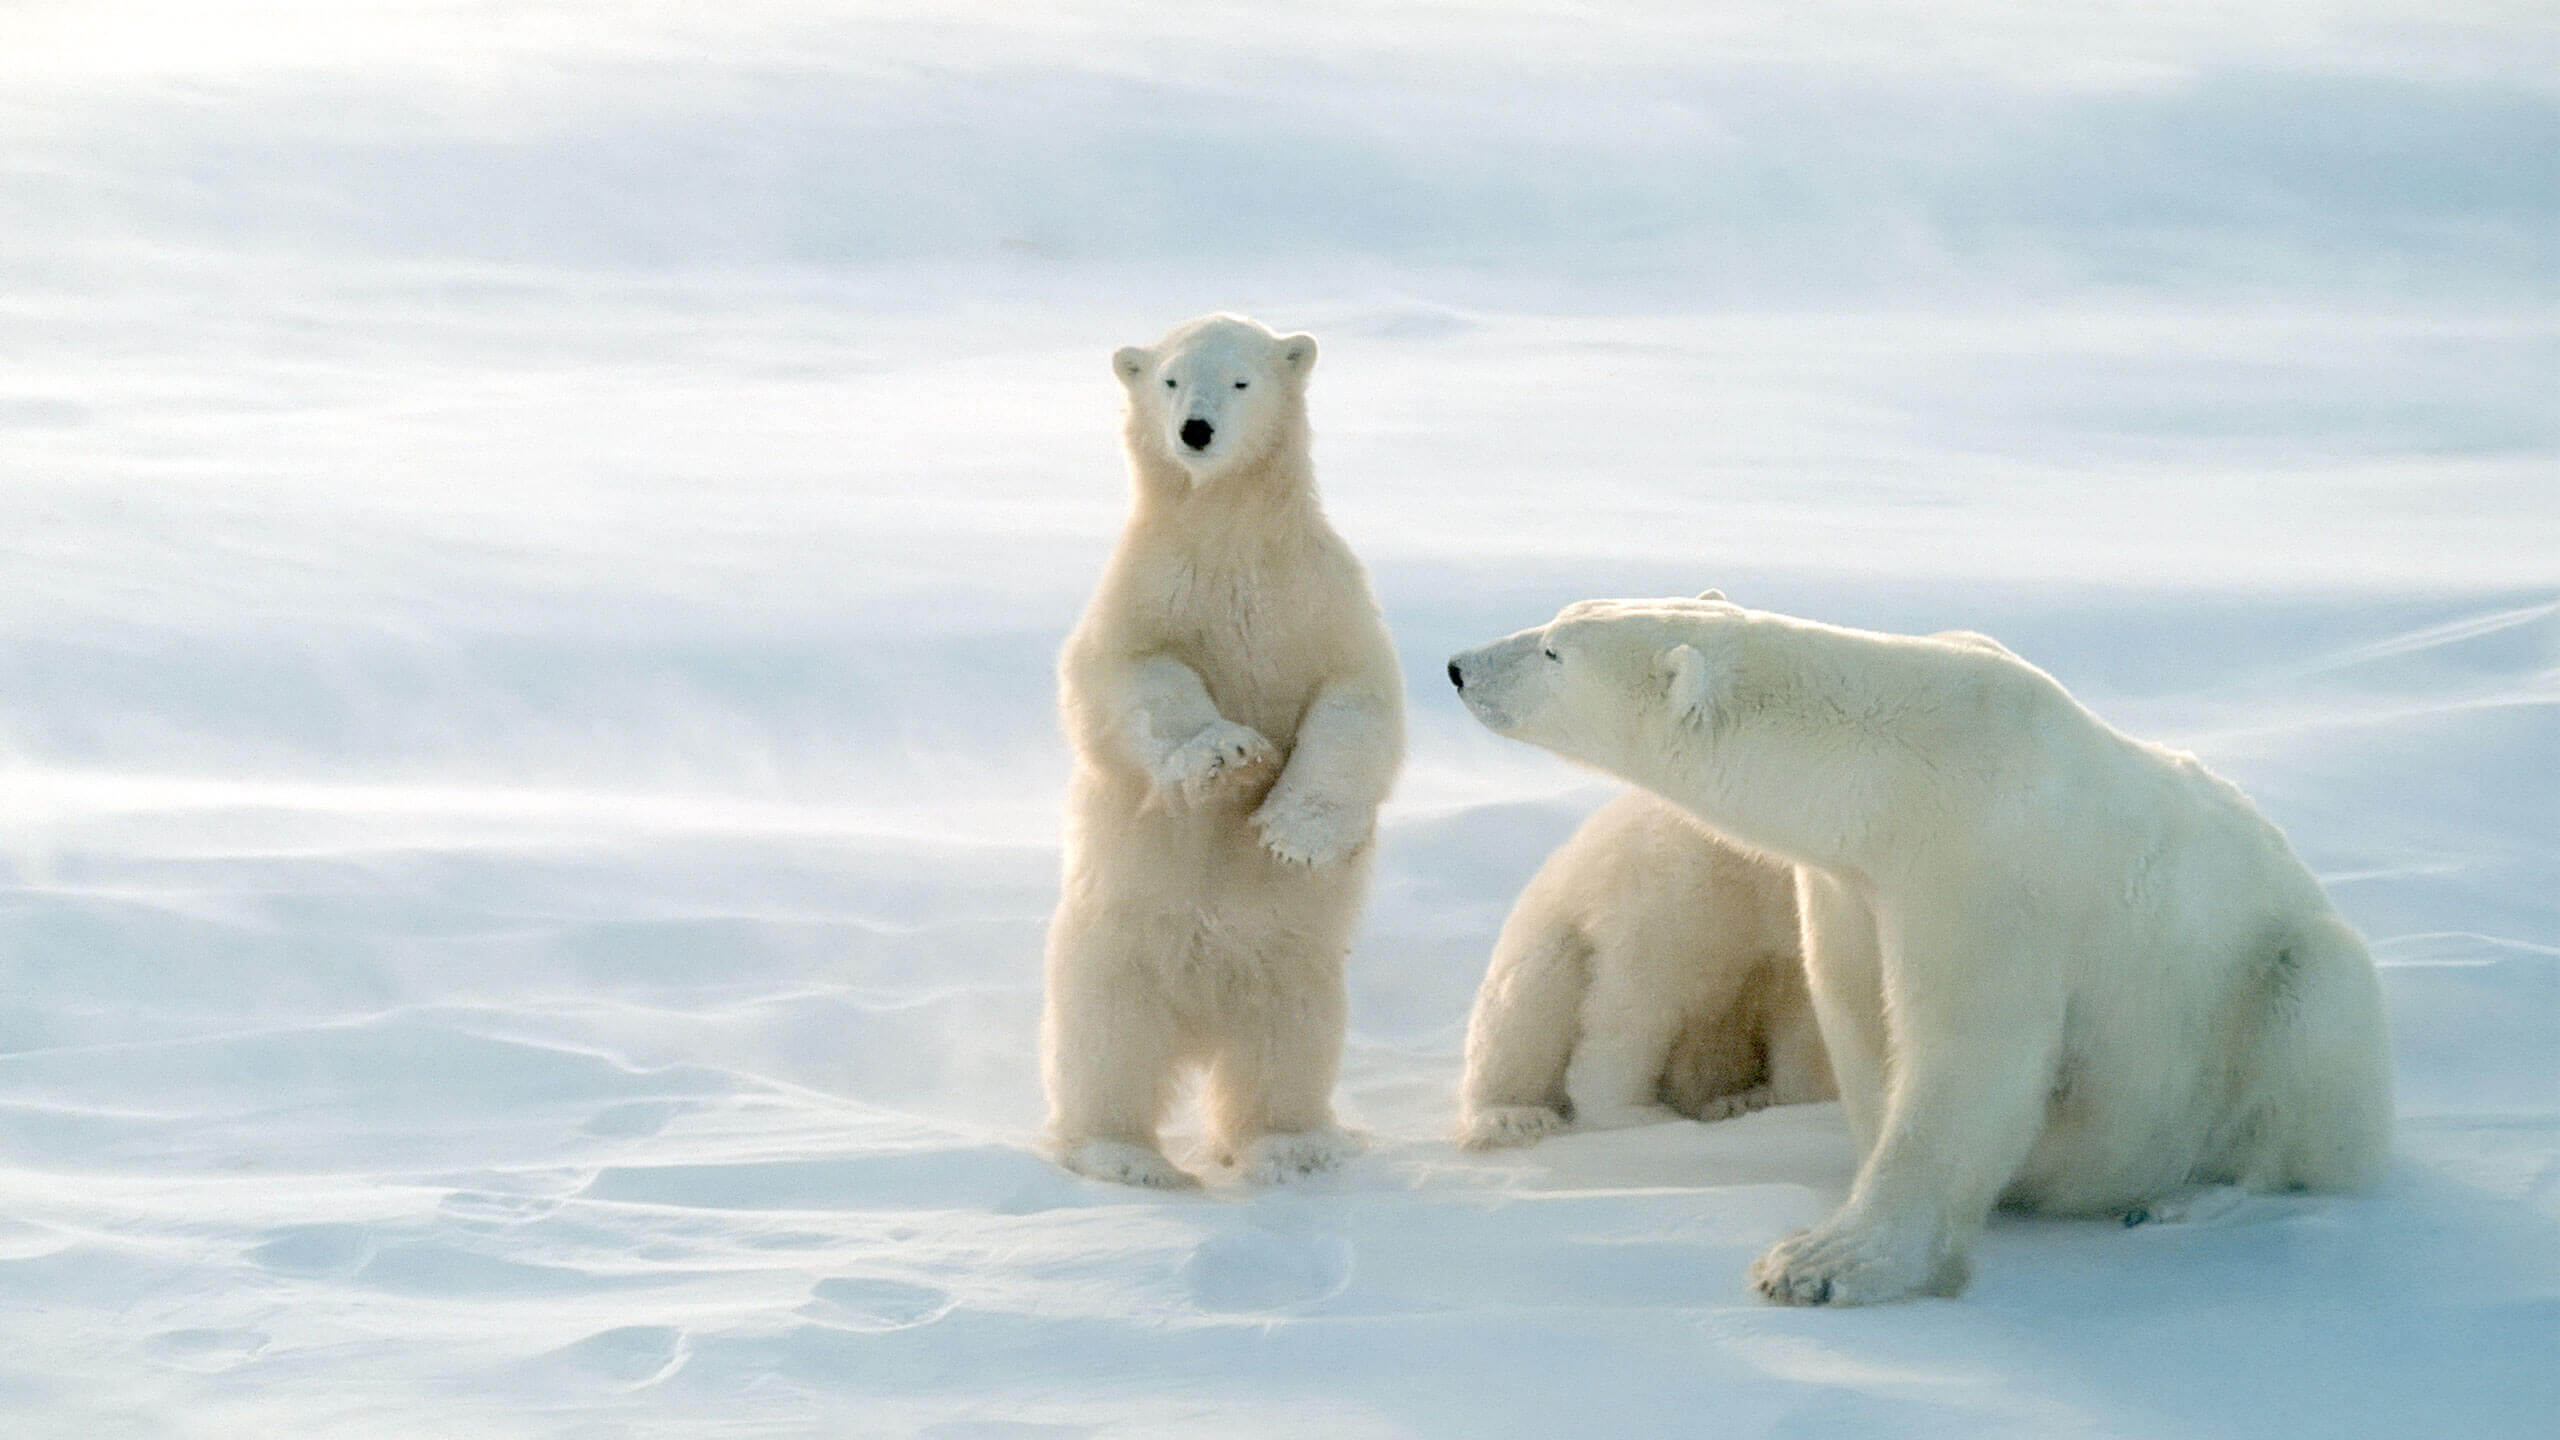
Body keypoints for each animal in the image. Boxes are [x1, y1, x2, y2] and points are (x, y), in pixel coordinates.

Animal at [1041, 314, 1405, 1189]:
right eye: (1170, 379)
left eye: (1241, 380)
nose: (1196, 431)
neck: (1231, 534)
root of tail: (1201, 1018)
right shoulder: (1150, 590)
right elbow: (1132, 676)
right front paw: (1227, 756)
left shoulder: (1316, 597)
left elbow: (1356, 702)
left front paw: (1292, 832)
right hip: (1110, 952)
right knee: (1106, 1049)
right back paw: (1122, 1155)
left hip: (1296, 966)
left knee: (1286, 1049)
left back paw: (1294, 1146)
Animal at [1457, 787, 1833, 1150]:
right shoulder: (1682, 889)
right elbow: (1639, 999)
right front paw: (1637, 1113)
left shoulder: (1788, 940)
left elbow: (1802, 1023)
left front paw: (1788, 1100)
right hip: (1544, 937)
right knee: (1528, 1008)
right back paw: (1514, 1115)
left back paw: (1736, 1099)